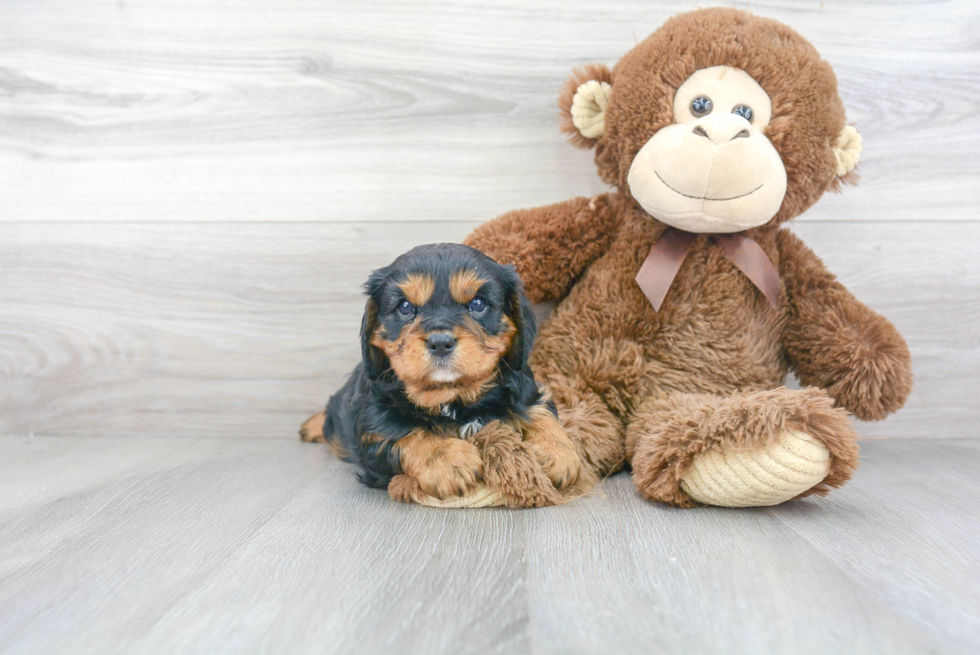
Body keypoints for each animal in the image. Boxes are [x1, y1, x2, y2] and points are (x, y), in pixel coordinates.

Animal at [298, 243, 580, 504]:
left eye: (478, 303)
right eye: (405, 307)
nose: (440, 342)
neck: (452, 396)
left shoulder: (523, 385)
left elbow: (538, 409)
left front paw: (558, 452)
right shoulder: (372, 418)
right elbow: (401, 430)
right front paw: (447, 460)